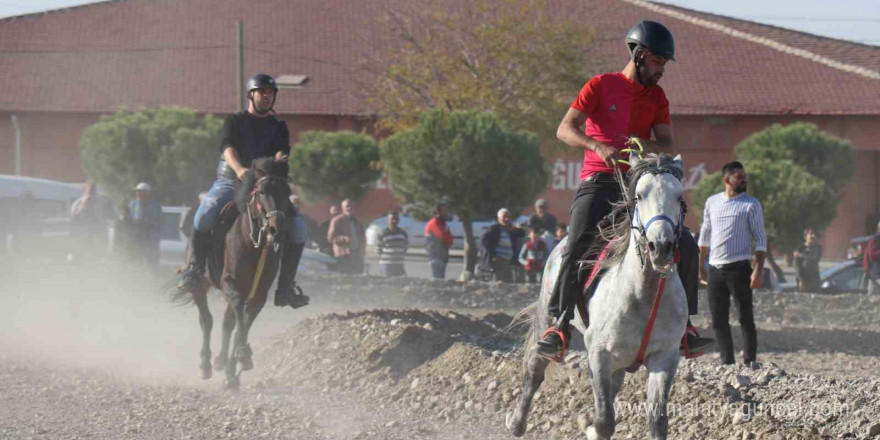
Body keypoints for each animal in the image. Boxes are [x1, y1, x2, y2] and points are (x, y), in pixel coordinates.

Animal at [174, 157, 290, 388]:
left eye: (286, 191)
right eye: (261, 191)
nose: (277, 229)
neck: (253, 244)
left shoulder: (259, 293)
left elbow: (241, 323)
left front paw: (235, 368)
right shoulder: (230, 283)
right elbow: (237, 316)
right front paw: (242, 356)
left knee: (227, 322)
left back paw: (221, 362)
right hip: (201, 283)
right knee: (206, 320)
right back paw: (206, 365)